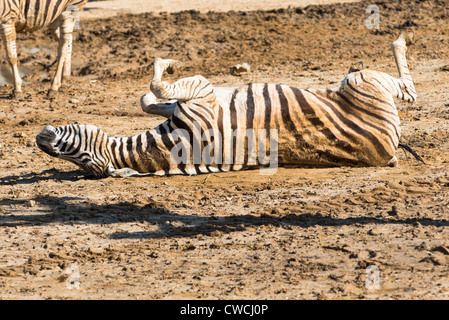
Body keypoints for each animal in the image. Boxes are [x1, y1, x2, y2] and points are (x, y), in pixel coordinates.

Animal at [36, 31, 422, 178]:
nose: (40, 139)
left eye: (73, 153)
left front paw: (155, 86)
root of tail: (389, 149)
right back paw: (401, 40)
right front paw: (166, 63)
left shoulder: (199, 97)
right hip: (366, 83)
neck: (170, 145)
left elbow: (152, 97)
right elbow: (157, 85)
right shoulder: (203, 92)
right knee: (409, 90)